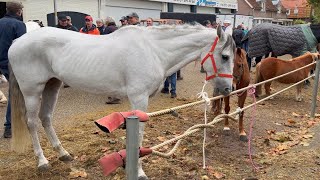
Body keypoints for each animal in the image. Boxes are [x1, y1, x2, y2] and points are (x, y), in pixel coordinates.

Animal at [8, 23, 235, 179]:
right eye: (225, 56)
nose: (228, 89)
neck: (154, 50)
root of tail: (16, 42)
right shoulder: (139, 99)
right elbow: (140, 136)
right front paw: (140, 171)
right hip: (32, 91)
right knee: (32, 123)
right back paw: (42, 161)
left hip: (52, 86)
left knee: (46, 118)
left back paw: (63, 154)